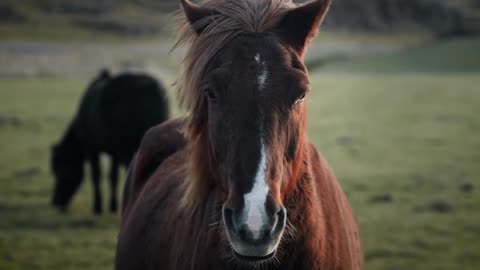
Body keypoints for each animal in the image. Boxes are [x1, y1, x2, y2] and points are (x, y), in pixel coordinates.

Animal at [51, 70, 169, 215]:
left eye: (59, 171)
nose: (55, 202)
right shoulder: (114, 151)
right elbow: (113, 177)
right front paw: (113, 206)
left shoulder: (92, 148)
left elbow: (96, 175)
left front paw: (98, 206)